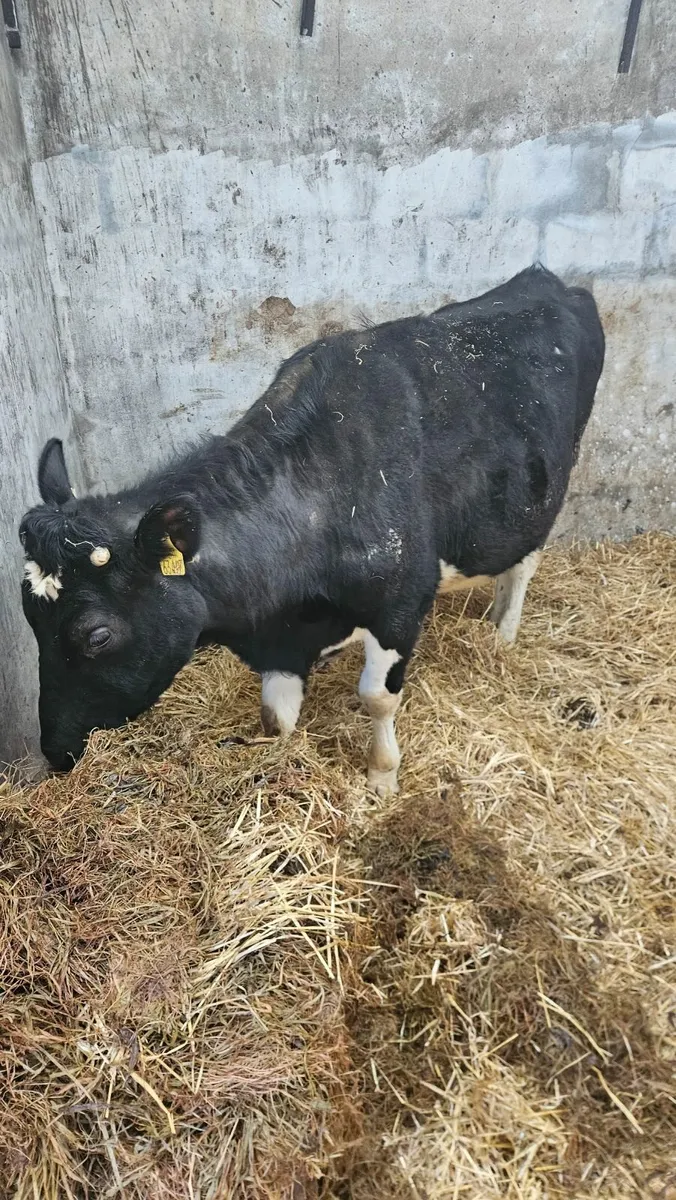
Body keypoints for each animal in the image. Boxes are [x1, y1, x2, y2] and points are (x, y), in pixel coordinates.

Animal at [19, 265, 604, 793]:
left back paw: (503, 634)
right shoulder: (280, 635)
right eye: (29, 618)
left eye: (97, 635)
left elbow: (377, 697)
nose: (55, 750)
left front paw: (381, 780)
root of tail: (546, 279)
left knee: (524, 563)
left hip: (550, 483)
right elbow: (276, 717)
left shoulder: (400, 605)